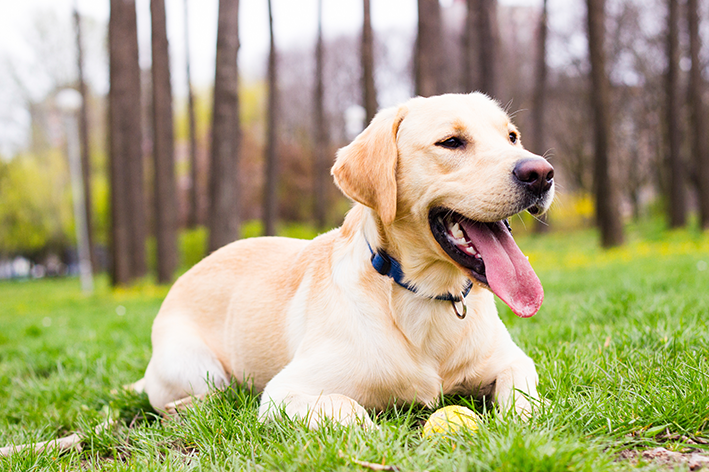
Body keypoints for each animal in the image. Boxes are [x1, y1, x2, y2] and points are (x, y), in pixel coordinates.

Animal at [137, 92, 552, 428]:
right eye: (451, 142)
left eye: (512, 137)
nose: (541, 173)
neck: (425, 295)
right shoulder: (285, 393)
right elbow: (350, 409)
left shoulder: (512, 359)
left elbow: (523, 392)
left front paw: (530, 413)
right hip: (197, 366)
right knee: (210, 393)